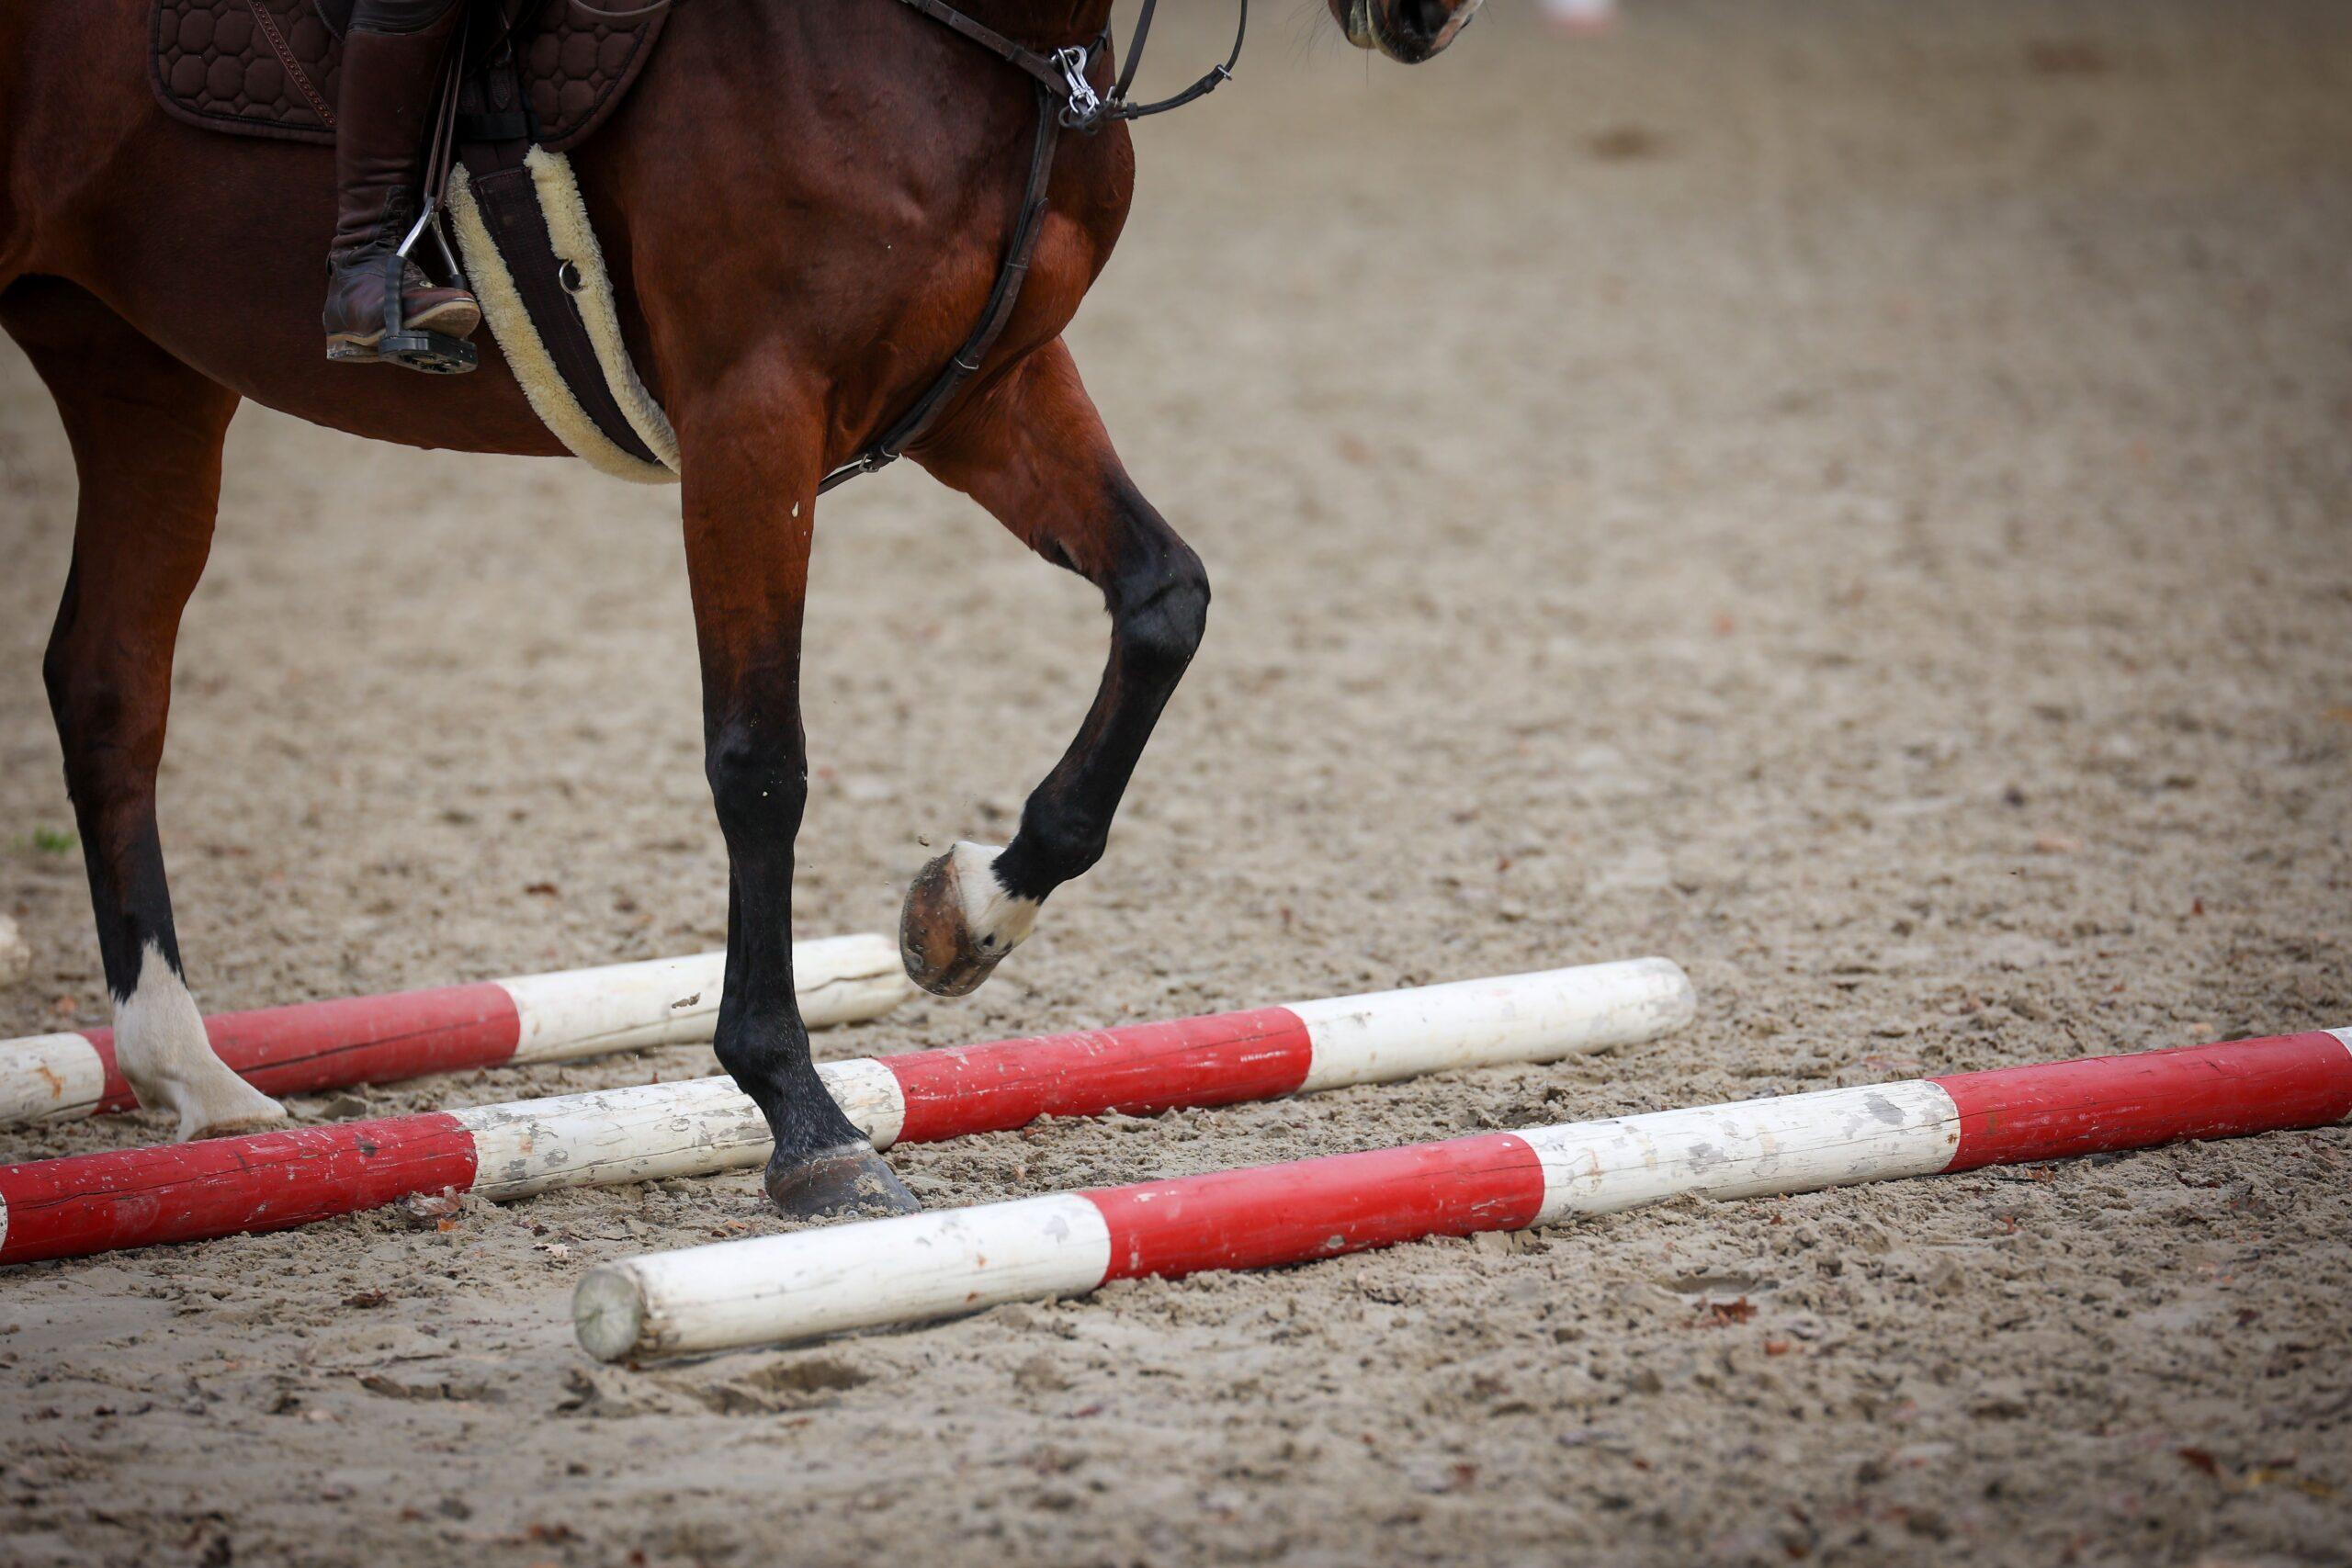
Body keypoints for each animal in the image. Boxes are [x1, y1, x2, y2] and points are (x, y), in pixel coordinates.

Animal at [0, 0, 1476, 1222]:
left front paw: (970, 913)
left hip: (141, 370)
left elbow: (1165, 604)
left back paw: (192, 1075)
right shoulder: (750, 419)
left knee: (110, 683)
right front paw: (805, 1118)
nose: (1431, 17)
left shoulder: (991, 389)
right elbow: (762, 763)